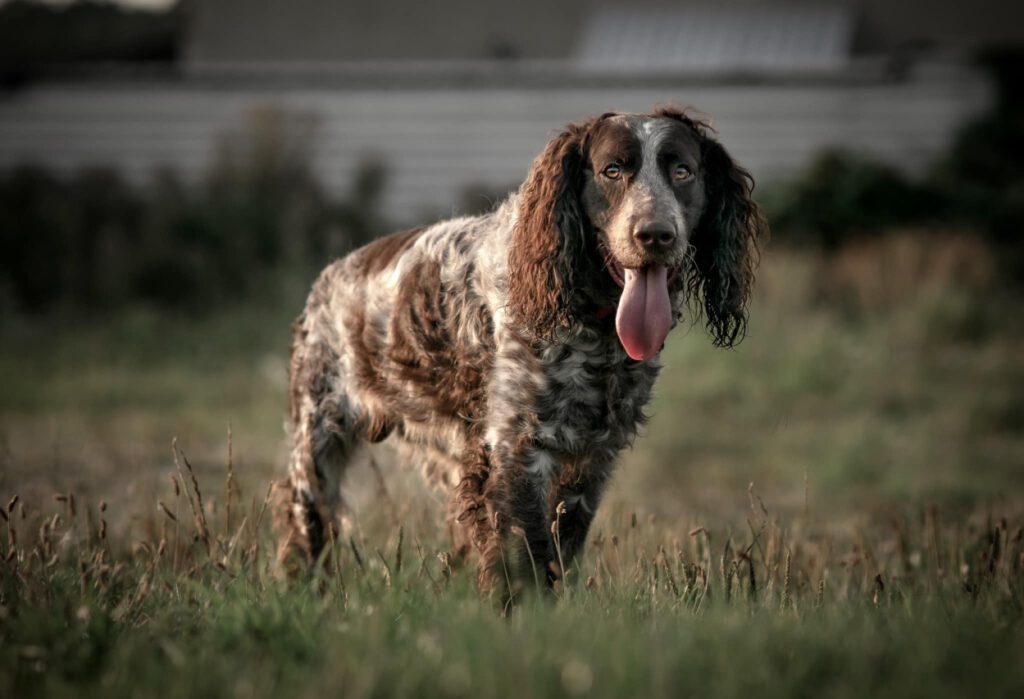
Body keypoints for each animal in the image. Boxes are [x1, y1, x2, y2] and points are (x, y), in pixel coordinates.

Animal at [276, 106, 765, 597]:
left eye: (682, 171)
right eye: (612, 170)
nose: (655, 235)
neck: (591, 321)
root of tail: (329, 277)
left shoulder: (591, 460)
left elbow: (560, 548)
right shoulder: (518, 446)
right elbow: (525, 555)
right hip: (317, 442)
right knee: (303, 521)